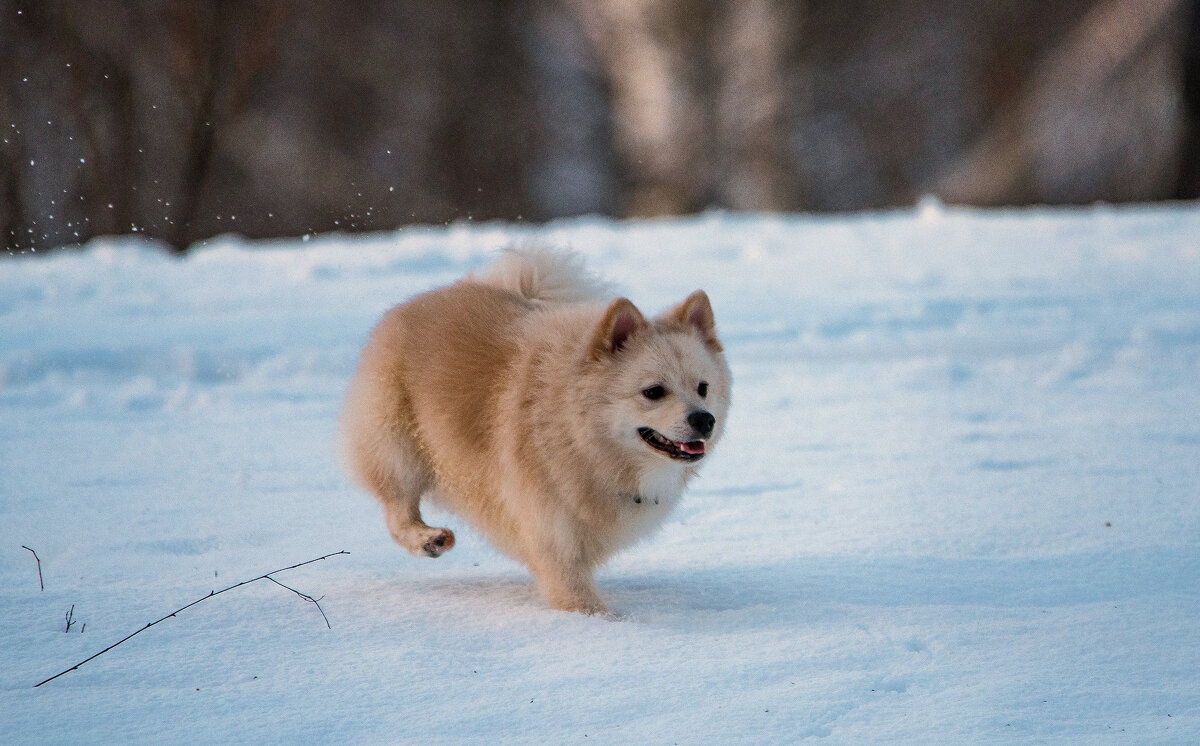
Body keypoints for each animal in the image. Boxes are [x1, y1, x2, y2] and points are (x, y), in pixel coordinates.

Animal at [338, 248, 729, 618]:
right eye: (653, 392)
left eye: (703, 388)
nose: (704, 420)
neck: (582, 440)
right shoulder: (553, 538)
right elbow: (578, 599)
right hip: (396, 446)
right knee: (397, 506)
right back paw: (427, 539)